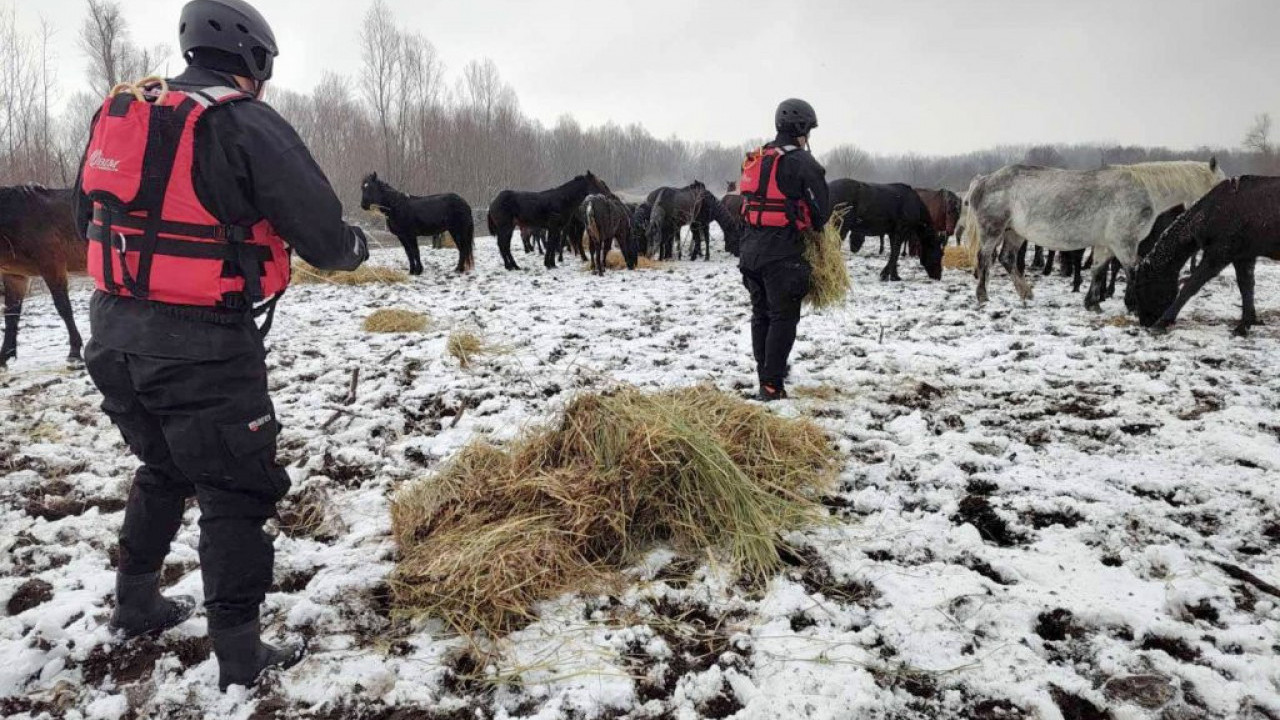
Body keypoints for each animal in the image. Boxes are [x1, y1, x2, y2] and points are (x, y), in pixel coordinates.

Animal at [0, 185, 85, 363]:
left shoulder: (52, 267)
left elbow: (64, 308)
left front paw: (74, 352)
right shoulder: (15, 276)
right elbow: (11, 315)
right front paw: (5, 355)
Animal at [1126, 178, 1274, 335]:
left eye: (1141, 286)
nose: (1144, 322)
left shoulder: (1218, 256)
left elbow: (1190, 286)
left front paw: (1163, 321)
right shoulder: (1244, 256)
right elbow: (1246, 286)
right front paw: (1246, 323)